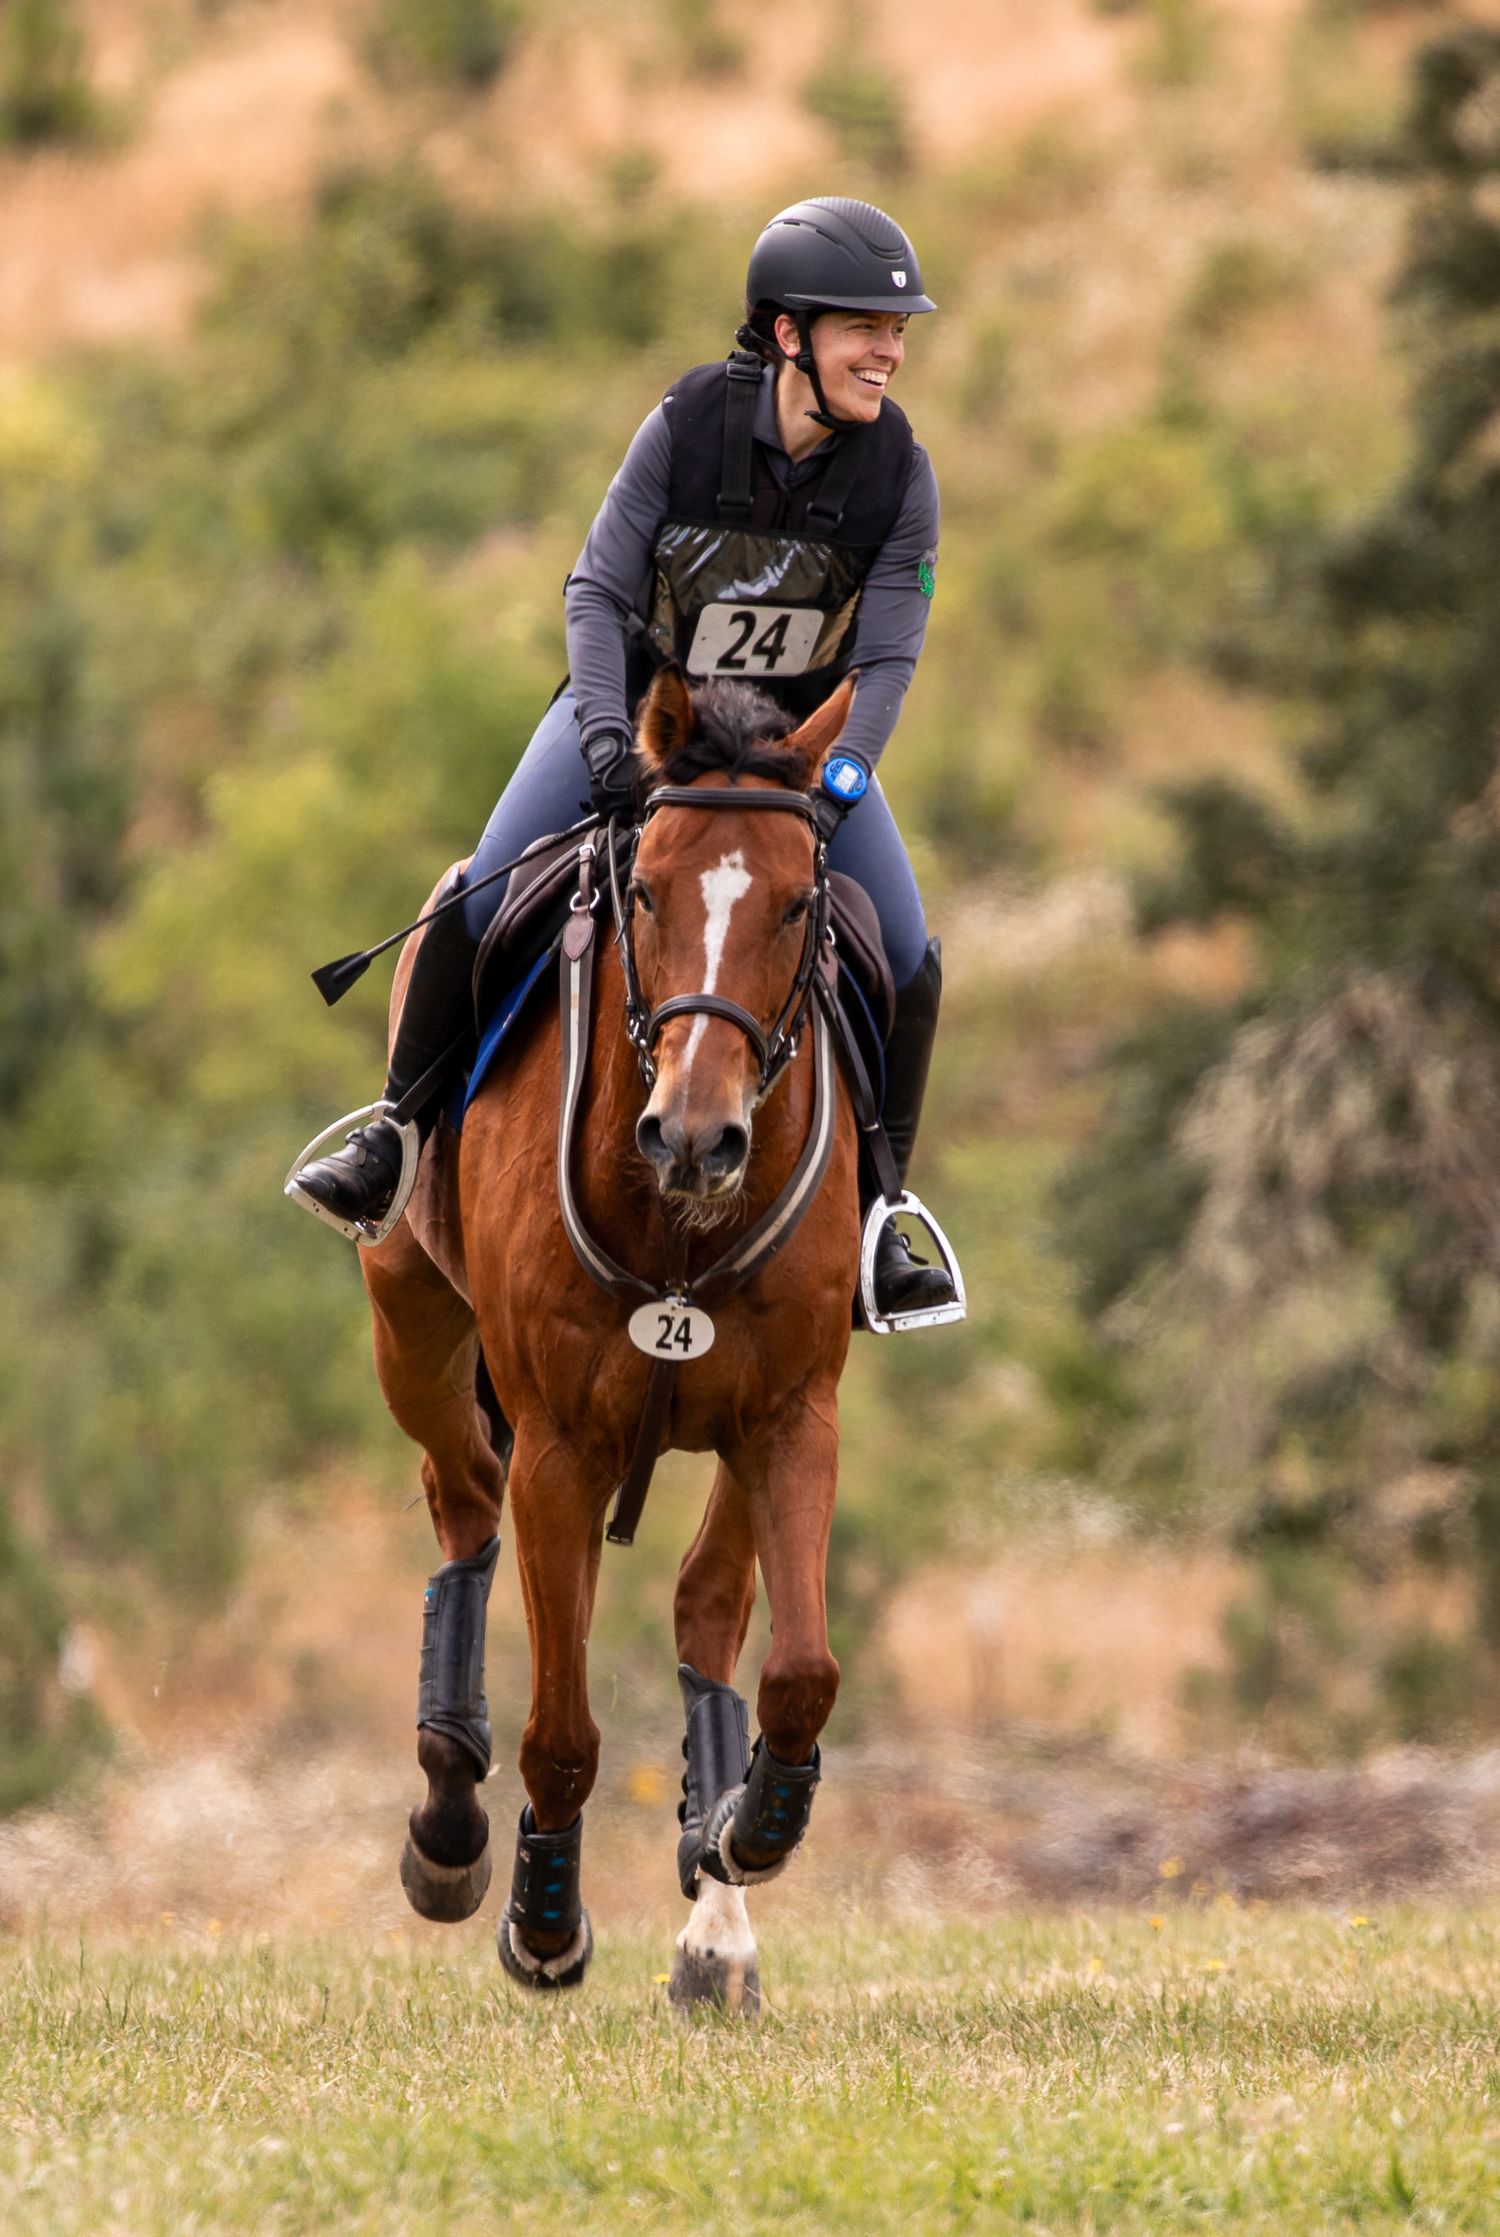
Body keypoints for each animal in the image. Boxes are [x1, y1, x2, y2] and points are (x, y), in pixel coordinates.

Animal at [360, 665, 865, 2011]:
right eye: (645, 891)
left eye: (797, 906)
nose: (695, 1134)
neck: (678, 1221)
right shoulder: (560, 1446)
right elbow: (564, 1733)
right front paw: (543, 1919)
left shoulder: (792, 1414)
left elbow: (798, 1668)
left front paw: (753, 1825)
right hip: (411, 1323)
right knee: (462, 1500)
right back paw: (449, 1823)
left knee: (706, 1606)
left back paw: (719, 1916)